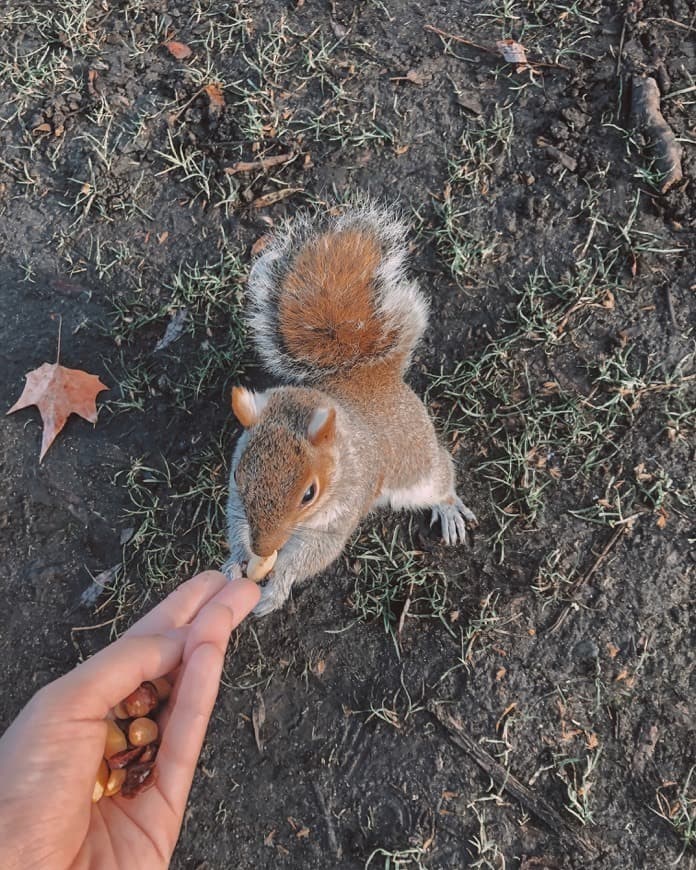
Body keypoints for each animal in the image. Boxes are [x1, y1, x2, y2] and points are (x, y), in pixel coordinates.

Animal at [223, 202, 478, 616]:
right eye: (236, 476)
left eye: (309, 494)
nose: (263, 548)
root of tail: (372, 377)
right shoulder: (236, 502)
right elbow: (235, 523)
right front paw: (235, 560)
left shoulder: (341, 511)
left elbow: (311, 555)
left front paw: (276, 588)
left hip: (418, 467)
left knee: (440, 474)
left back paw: (448, 507)